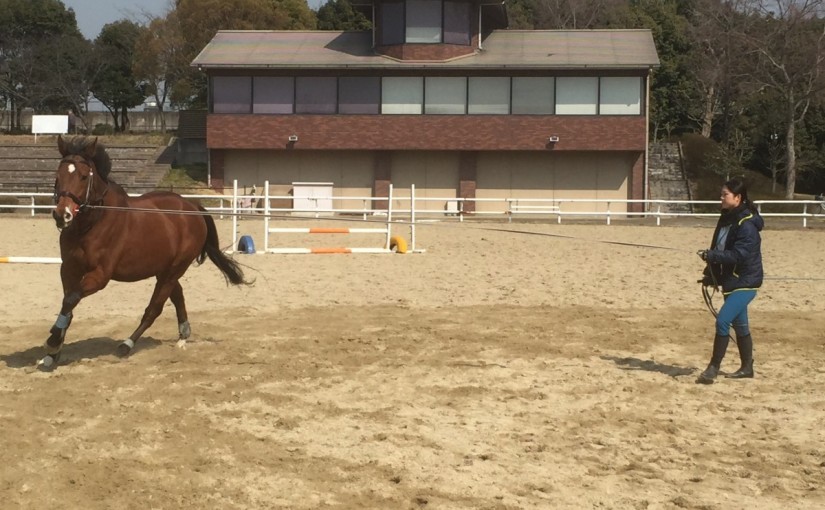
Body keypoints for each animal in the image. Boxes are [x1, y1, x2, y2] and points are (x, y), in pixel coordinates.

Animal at [42, 135, 249, 369]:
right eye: (57, 176)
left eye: (84, 177)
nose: (62, 215)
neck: (92, 223)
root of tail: (192, 206)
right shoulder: (69, 269)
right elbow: (68, 303)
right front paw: (53, 352)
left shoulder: (100, 275)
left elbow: (70, 300)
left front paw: (52, 342)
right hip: (164, 270)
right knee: (177, 295)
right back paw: (183, 336)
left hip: (174, 269)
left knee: (155, 308)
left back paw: (127, 344)